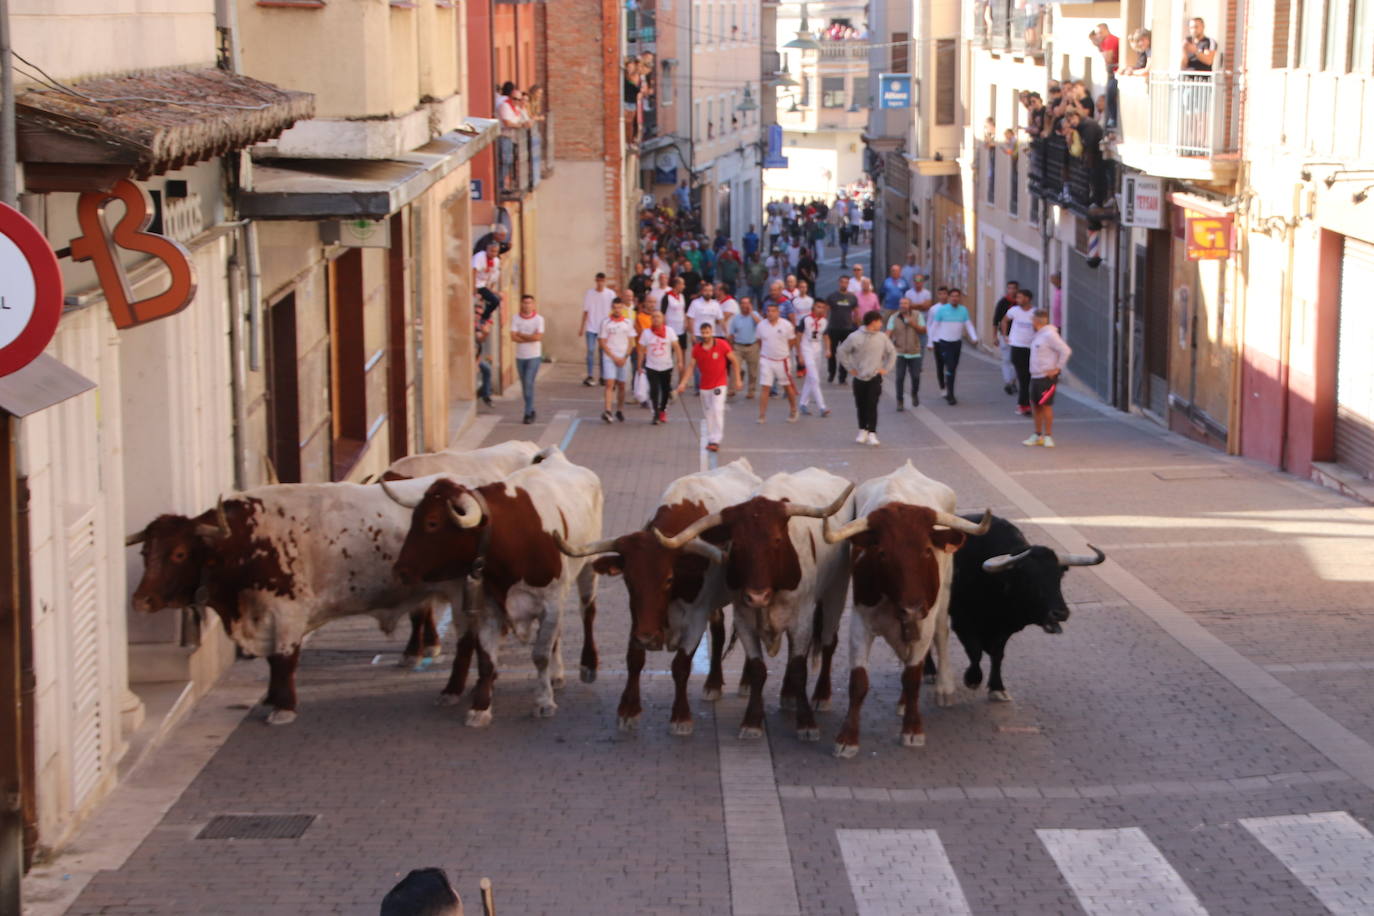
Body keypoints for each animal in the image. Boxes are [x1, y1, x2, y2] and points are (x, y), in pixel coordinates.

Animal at [818, 461, 994, 758]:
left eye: (927, 551)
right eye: (882, 554)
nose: (912, 608)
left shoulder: (924, 621)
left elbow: (912, 676)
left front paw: (913, 730)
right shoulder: (860, 624)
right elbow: (859, 682)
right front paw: (847, 738)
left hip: (943, 594)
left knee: (941, 635)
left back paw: (944, 688)